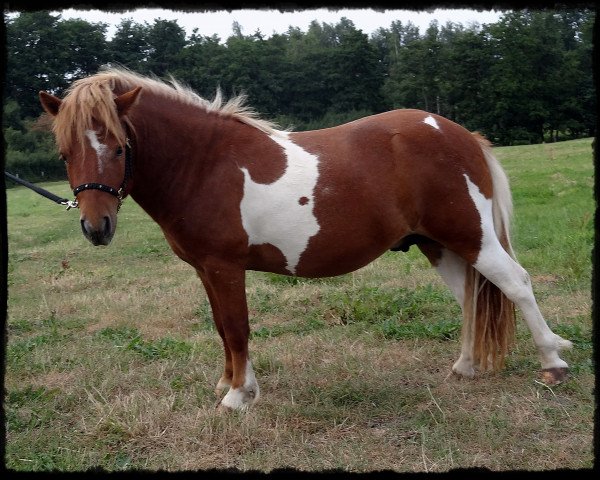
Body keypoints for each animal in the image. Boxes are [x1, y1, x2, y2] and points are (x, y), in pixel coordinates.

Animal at [38, 67, 572, 410]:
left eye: (118, 146)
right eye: (64, 152)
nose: (97, 228)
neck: (206, 163)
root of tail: (458, 133)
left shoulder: (224, 267)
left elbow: (237, 328)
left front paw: (237, 398)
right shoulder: (207, 271)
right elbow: (222, 328)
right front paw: (231, 383)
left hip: (472, 235)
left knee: (515, 283)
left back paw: (553, 362)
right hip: (436, 243)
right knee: (471, 298)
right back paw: (464, 367)